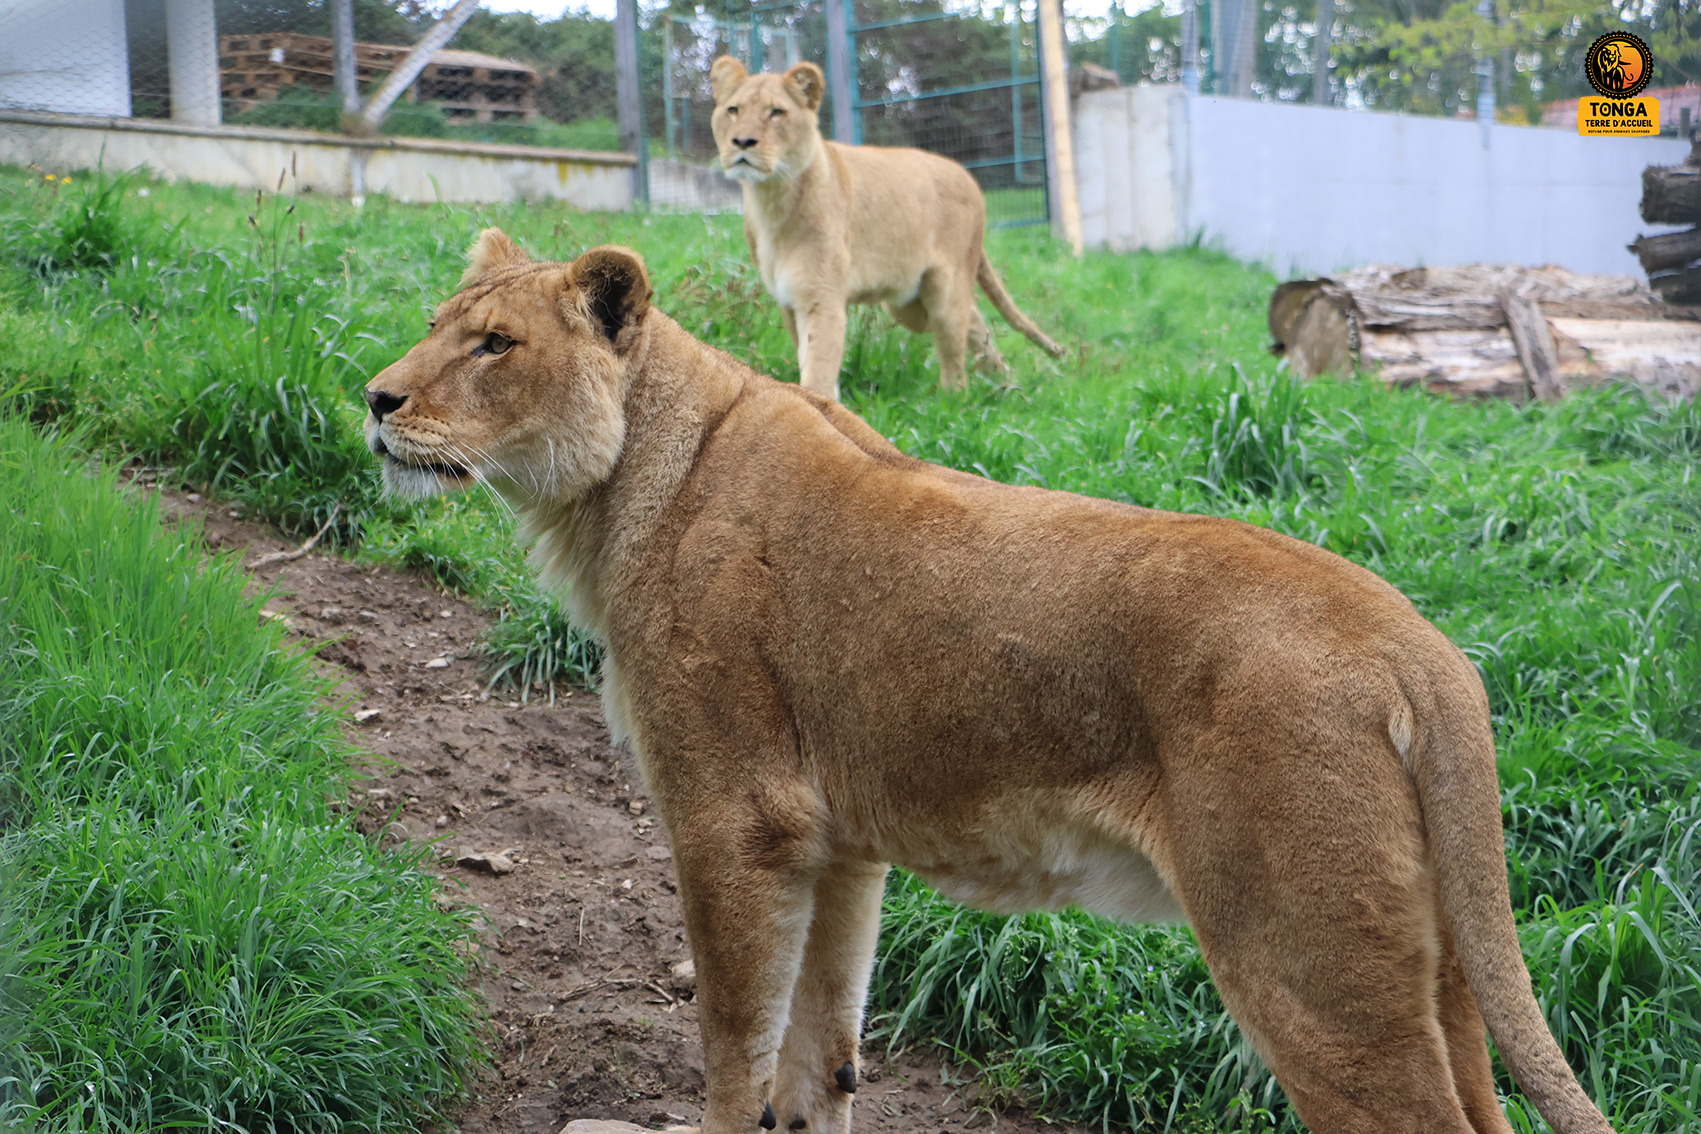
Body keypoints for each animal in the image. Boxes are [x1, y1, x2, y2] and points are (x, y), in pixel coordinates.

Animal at [363, 230, 1617, 1134]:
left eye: (493, 344)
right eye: (436, 331)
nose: (375, 399)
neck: (619, 489)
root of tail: (1419, 646)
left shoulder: (735, 820)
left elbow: (734, 1051)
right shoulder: (836, 841)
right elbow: (817, 1060)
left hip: (1309, 961)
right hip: (1436, 962)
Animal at [708, 56, 1065, 401]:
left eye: (777, 112)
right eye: (733, 110)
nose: (742, 142)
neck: (771, 199)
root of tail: (967, 175)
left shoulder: (820, 297)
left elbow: (818, 369)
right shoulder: (788, 300)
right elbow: (809, 360)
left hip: (945, 289)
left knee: (954, 352)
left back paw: (955, 402)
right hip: (907, 304)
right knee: (976, 323)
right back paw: (1007, 382)